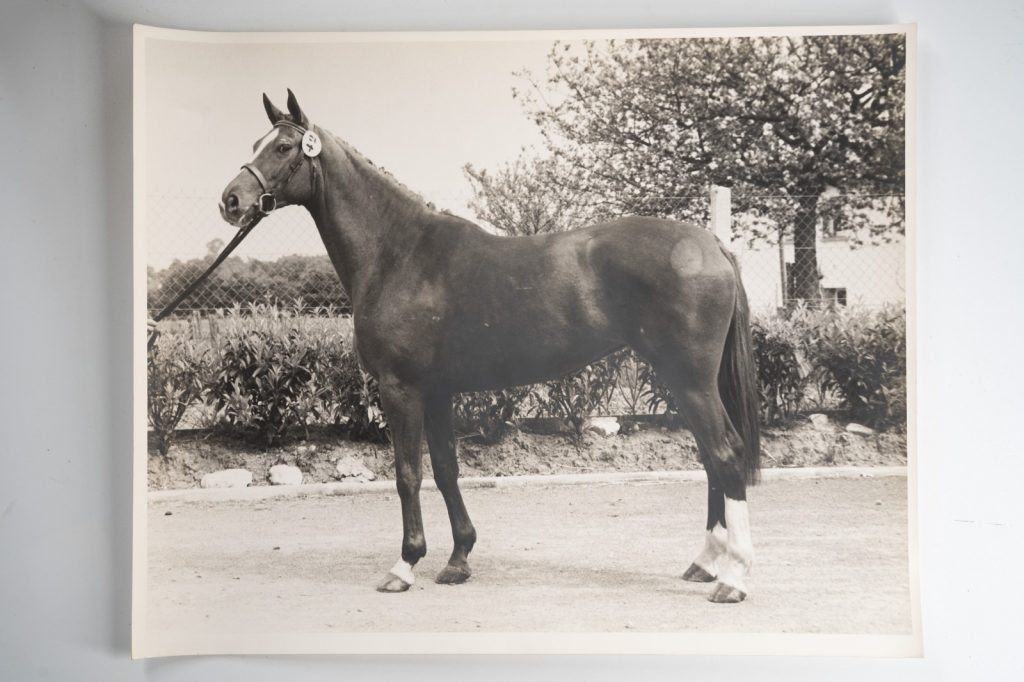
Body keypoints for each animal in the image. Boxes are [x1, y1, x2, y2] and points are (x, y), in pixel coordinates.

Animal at [219, 90, 761, 603]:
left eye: (283, 148)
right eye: (256, 143)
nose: (231, 200)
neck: (400, 253)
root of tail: (713, 244)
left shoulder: (401, 389)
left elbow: (407, 473)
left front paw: (405, 565)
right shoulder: (436, 392)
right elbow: (445, 469)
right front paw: (458, 559)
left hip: (689, 380)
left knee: (725, 454)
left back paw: (733, 578)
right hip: (685, 381)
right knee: (710, 458)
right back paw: (705, 563)